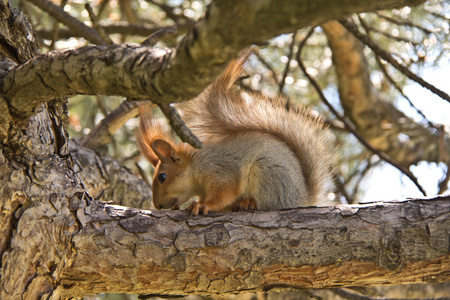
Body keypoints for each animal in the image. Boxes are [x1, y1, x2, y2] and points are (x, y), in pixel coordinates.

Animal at [137, 55, 334, 216]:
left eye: (162, 177)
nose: (157, 205)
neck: (194, 166)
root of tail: (303, 197)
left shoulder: (219, 169)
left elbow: (225, 192)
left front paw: (202, 205)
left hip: (268, 173)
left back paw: (249, 202)